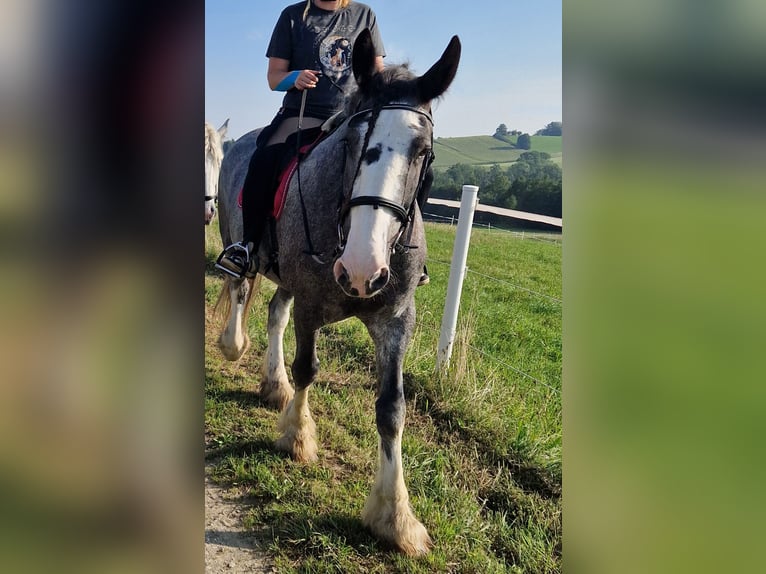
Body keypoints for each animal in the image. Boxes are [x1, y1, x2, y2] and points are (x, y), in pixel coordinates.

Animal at [216, 31, 460, 560]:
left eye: (423, 151)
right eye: (350, 140)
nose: (362, 270)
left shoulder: (396, 320)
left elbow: (392, 408)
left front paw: (395, 517)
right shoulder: (311, 304)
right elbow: (308, 368)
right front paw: (297, 438)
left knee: (274, 313)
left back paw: (274, 384)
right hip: (241, 245)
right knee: (241, 290)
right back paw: (234, 345)